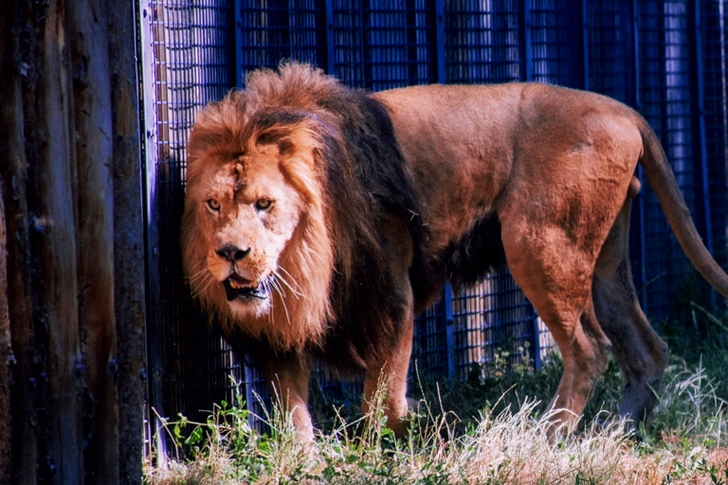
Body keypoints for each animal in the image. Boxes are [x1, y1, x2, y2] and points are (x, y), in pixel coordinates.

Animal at [182, 62, 728, 441]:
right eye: (213, 204)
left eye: (264, 204)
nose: (231, 252)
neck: (305, 259)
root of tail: (624, 110)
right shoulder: (284, 322)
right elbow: (291, 404)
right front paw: (304, 458)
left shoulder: (392, 291)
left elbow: (382, 393)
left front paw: (390, 445)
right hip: (605, 261)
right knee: (646, 347)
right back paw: (617, 430)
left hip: (540, 244)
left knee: (590, 347)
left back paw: (551, 435)